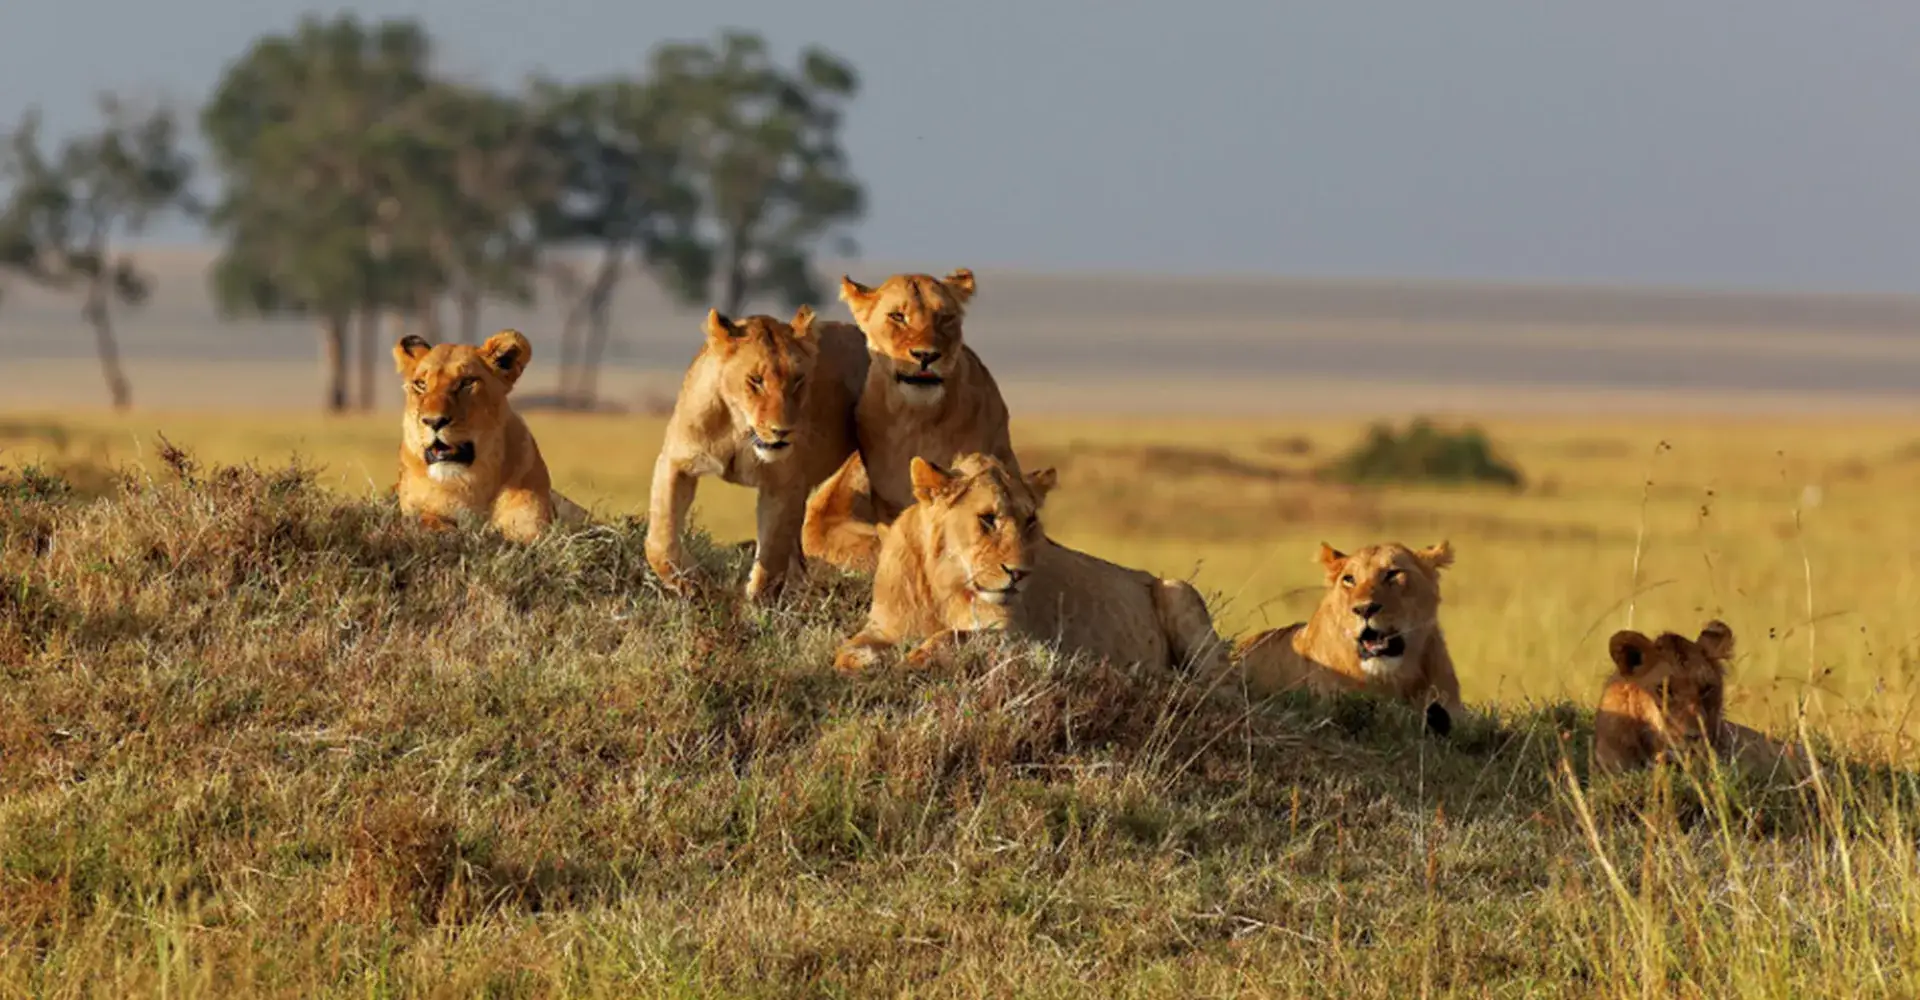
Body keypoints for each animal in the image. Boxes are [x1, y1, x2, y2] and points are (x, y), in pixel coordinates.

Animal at [393, 329, 584, 542]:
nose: (433, 421)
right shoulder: (414, 510)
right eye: (421, 384)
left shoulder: (534, 526)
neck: (469, 482)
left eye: (467, 382)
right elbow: (426, 520)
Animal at [645, 305, 869, 601]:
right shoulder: (676, 461)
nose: (782, 431)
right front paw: (691, 583)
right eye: (756, 381)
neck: (740, 431)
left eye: (798, 381)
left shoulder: (783, 483)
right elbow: (660, 538)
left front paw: (756, 602)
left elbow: (772, 554)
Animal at [831, 453, 1229, 677]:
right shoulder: (882, 626)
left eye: (1030, 521)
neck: (945, 586)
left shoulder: (1022, 640)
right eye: (988, 519)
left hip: (1179, 590)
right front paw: (866, 662)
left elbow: (952, 636)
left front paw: (914, 657)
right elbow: (847, 649)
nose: (1019, 574)